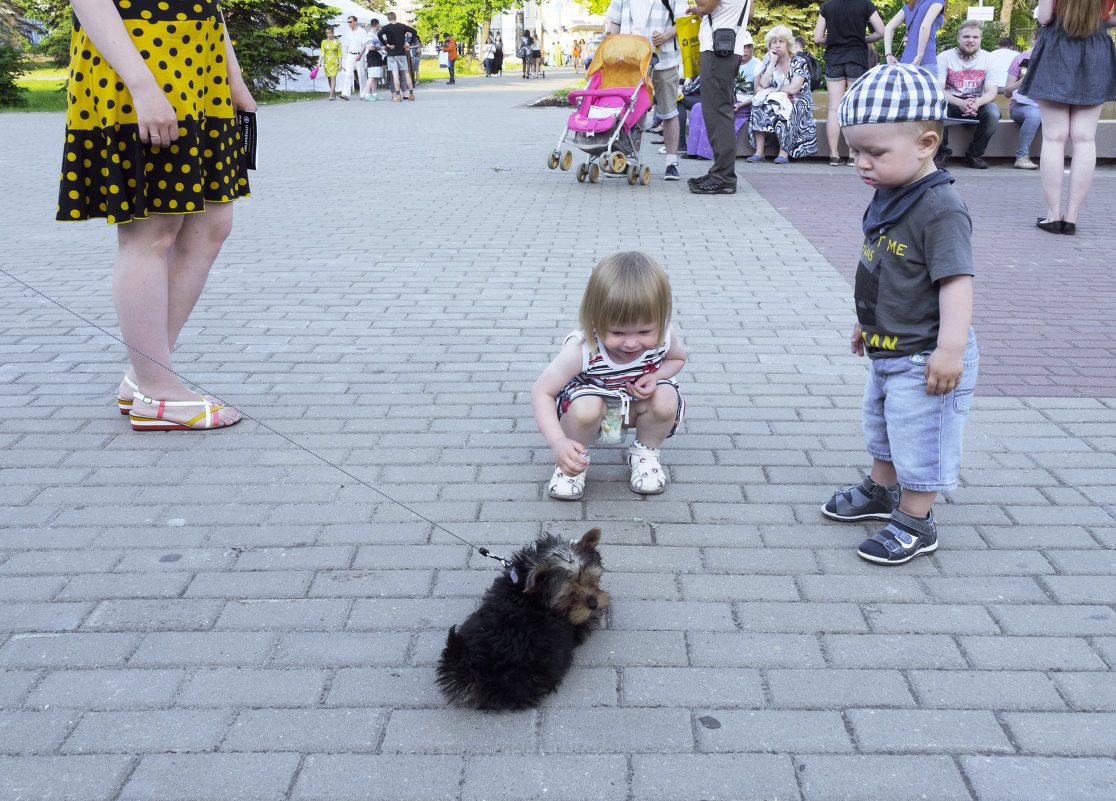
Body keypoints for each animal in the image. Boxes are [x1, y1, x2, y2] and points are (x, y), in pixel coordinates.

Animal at [435, 531, 611, 713]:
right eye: (570, 595)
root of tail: (471, 672)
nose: (594, 604)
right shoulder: (574, 623)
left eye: (592, 580)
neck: (534, 595)